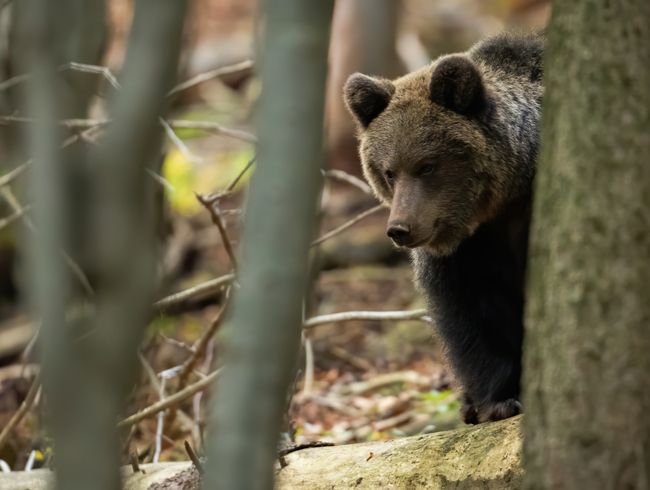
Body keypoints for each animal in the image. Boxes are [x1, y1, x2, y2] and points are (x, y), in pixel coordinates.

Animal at [344, 30, 540, 424]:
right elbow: (471, 314)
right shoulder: (468, 248)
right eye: (389, 171)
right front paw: (497, 400)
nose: (400, 229)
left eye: (427, 165)